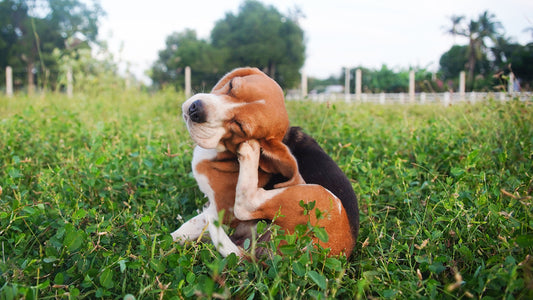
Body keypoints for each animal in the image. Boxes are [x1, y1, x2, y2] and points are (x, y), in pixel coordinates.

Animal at [172, 68, 360, 258]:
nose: (196, 110)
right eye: (231, 85)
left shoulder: (224, 210)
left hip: (317, 196)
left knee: (246, 204)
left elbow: (194, 223)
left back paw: (251, 151)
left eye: (240, 126)